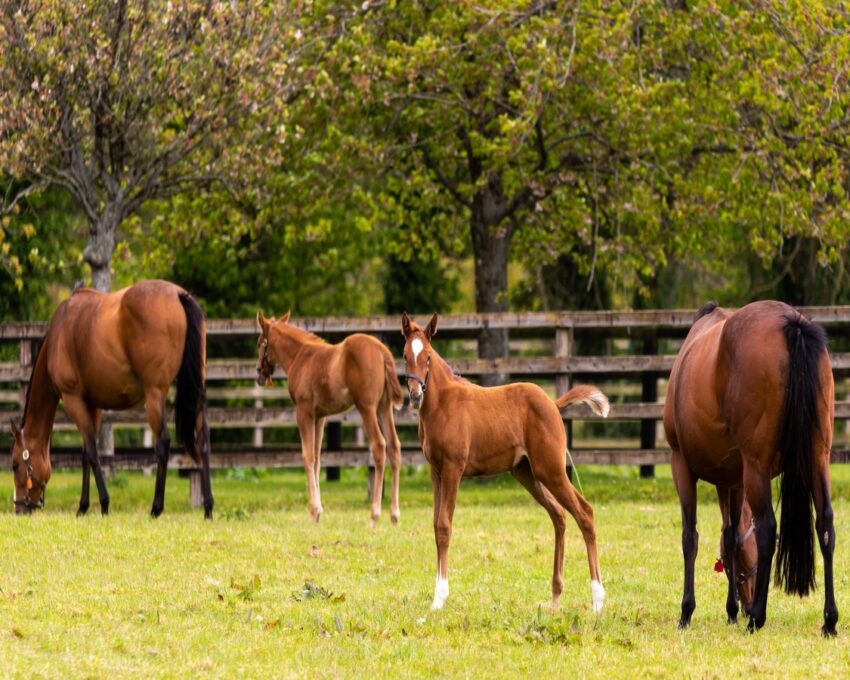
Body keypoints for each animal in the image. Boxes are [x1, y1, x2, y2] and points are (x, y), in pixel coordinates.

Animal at [9, 279, 214, 518]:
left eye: (15, 464)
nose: (19, 508)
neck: (58, 336)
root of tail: (179, 295)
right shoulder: (93, 406)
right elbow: (85, 453)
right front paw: (83, 506)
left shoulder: (73, 400)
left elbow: (92, 452)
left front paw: (104, 504)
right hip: (196, 390)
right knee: (203, 437)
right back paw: (208, 507)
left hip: (154, 394)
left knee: (163, 442)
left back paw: (156, 508)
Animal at [256, 311, 403, 526]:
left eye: (260, 343)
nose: (259, 373)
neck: (300, 356)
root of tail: (381, 349)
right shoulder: (320, 417)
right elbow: (317, 458)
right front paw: (318, 512)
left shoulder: (304, 412)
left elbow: (307, 456)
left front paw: (313, 512)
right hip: (384, 408)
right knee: (394, 446)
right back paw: (394, 515)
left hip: (367, 408)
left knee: (379, 445)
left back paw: (374, 515)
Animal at [400, 312, 609, 612]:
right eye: (405, 355)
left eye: (427, 356)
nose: (416, 395)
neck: (441, 405)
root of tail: (552, 403)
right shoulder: (435, 472)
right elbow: (435, 524)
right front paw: (437, 596)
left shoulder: (453, 468)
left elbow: (444, 526)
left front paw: (439, 598)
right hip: (526, 473)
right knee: (559, 514)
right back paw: (555, 596)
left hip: (551, 470)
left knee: (584, 512)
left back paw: (597, 600)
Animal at [663, 300, 837, 636]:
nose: (744, 604)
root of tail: (792, 324)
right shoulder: (734, 480)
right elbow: (730, 537)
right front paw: (730, 610)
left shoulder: (682, 466)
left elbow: (690, 538)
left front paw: (686, 611)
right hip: (816, 459)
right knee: (825, 526)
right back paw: (829, 620)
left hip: (757, 469)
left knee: (767, 527)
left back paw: (757, 616)